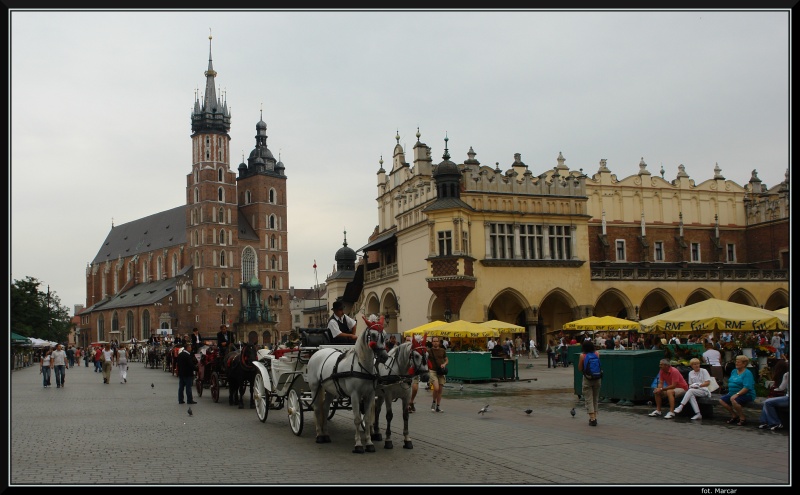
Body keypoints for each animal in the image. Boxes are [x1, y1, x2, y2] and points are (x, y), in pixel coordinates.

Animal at [308, 318, 390, 454]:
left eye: (385, 335)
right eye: (373, 335)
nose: (384, 357)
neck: (362, 366)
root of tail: (318, 351)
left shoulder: (370, 395)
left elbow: (367, 419)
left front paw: (369, 443)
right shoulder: (355, 395)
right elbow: (357, 419)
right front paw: (358, 444)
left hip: (330, 390)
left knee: (325, 408)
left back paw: (326, 434)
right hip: (315, 387)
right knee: (317, 409)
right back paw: (319, 435)